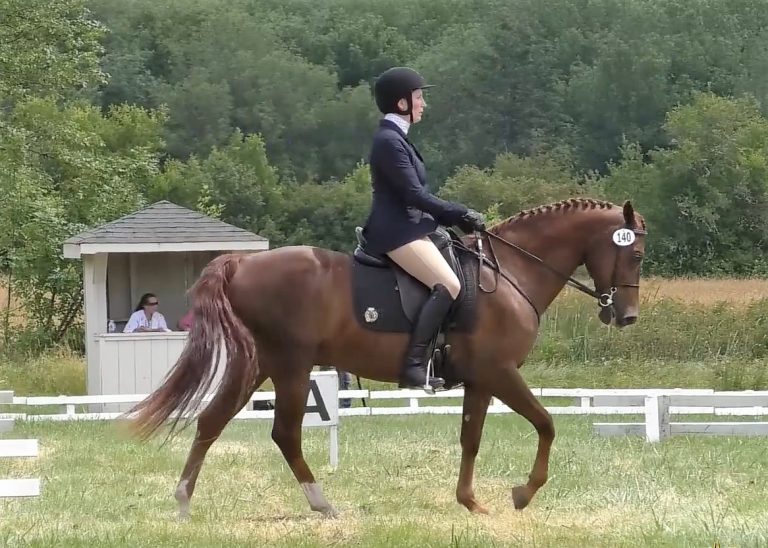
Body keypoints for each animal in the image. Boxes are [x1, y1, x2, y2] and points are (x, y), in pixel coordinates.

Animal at [127, 197, 647, 519]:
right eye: (637, 255)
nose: (626, 316)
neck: (512, 273)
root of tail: (243, 262)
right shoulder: (499, 373)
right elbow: (546, 423)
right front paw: (522, 494)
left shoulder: (480, 380)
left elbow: (471, 439)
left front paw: (470, 502)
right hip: (292, 367)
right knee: (284, 434)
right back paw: (322, 504)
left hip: (257, 366)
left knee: (211, 421)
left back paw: (183, 502)